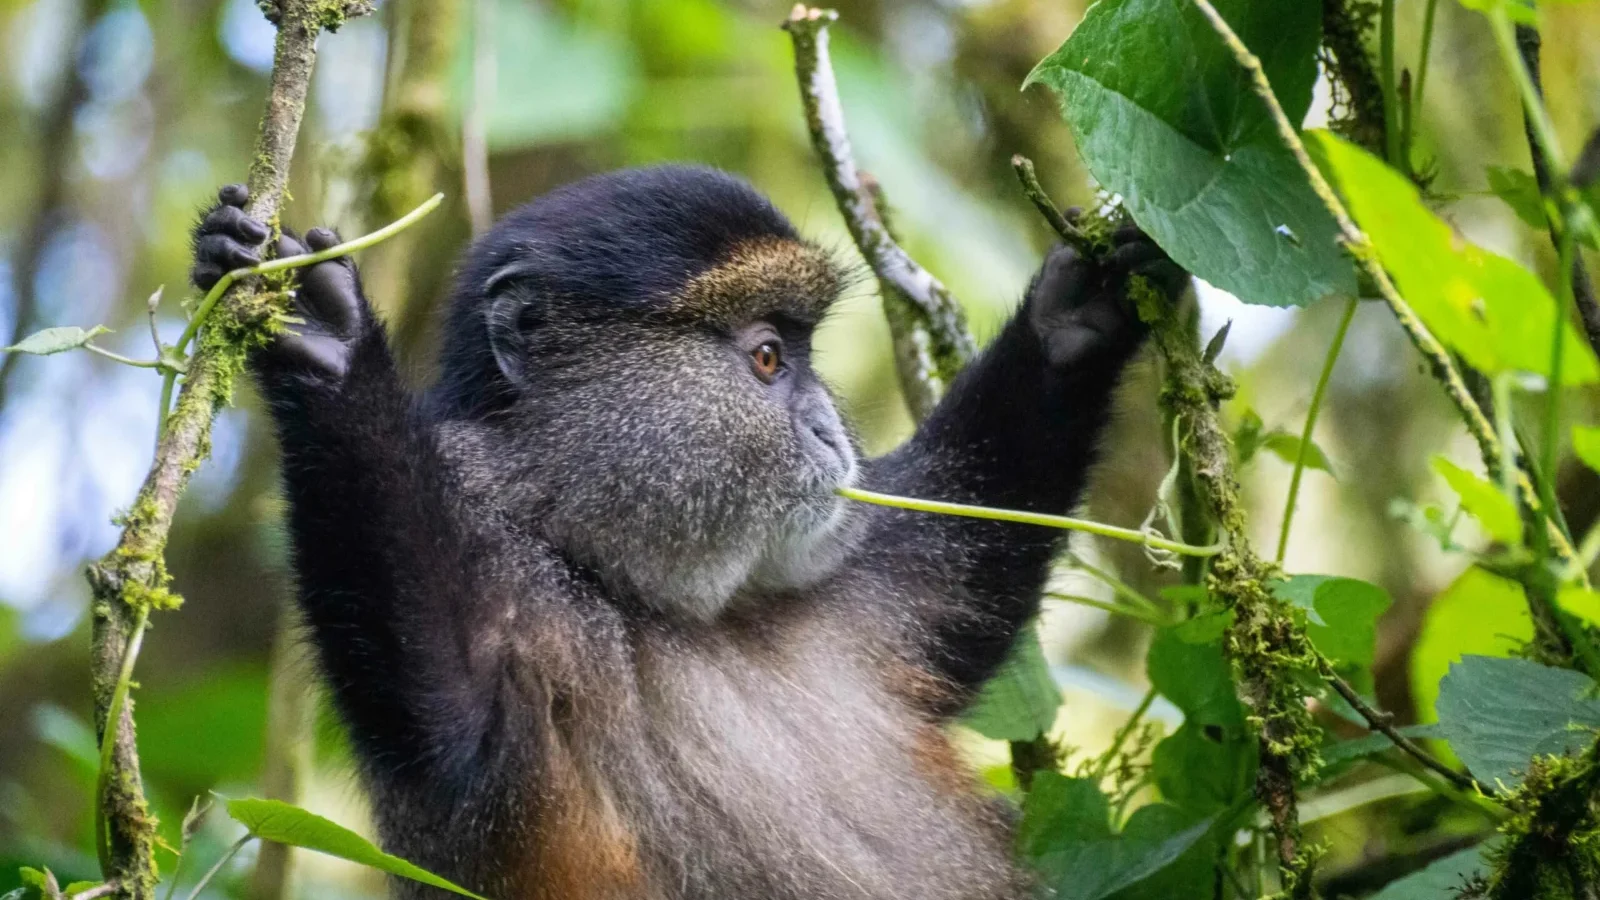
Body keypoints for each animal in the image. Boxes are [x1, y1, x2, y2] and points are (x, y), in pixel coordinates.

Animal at [191, 166, 1187, 900]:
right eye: (768, 358)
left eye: (800, 352)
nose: (829, 429)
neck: (618, 576)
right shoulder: (497, 582)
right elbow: (440, 712)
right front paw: (323, 339)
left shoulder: (851, 599)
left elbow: (963, 583)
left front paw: (1078, 309)